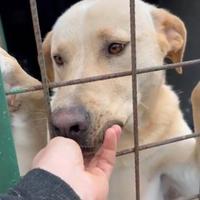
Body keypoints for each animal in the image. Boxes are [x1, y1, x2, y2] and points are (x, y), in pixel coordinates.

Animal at [0, 0, 200, 199]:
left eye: (115, 47)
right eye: (58, 59)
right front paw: (7, 65)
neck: (127, 140)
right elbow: (34, 89)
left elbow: (195, 93)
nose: (64, 126)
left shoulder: (188, 178)